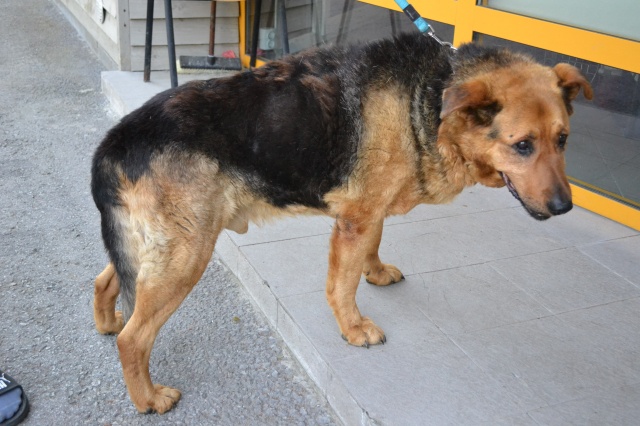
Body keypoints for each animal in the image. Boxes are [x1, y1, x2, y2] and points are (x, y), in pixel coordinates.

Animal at [91, 32, 592, 413]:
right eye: (522, 145)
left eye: (563, 140)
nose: (565, 207)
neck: (433, 96)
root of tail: (115, 141)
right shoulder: (356, 217)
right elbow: (343, 284)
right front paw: (353, 329)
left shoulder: (370, 210)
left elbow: (373, 246)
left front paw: (377, 272)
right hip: (186, 254)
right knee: (134, 339)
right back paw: (147, 398)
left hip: (158, 248)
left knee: (105, 281)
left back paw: (107, 321)